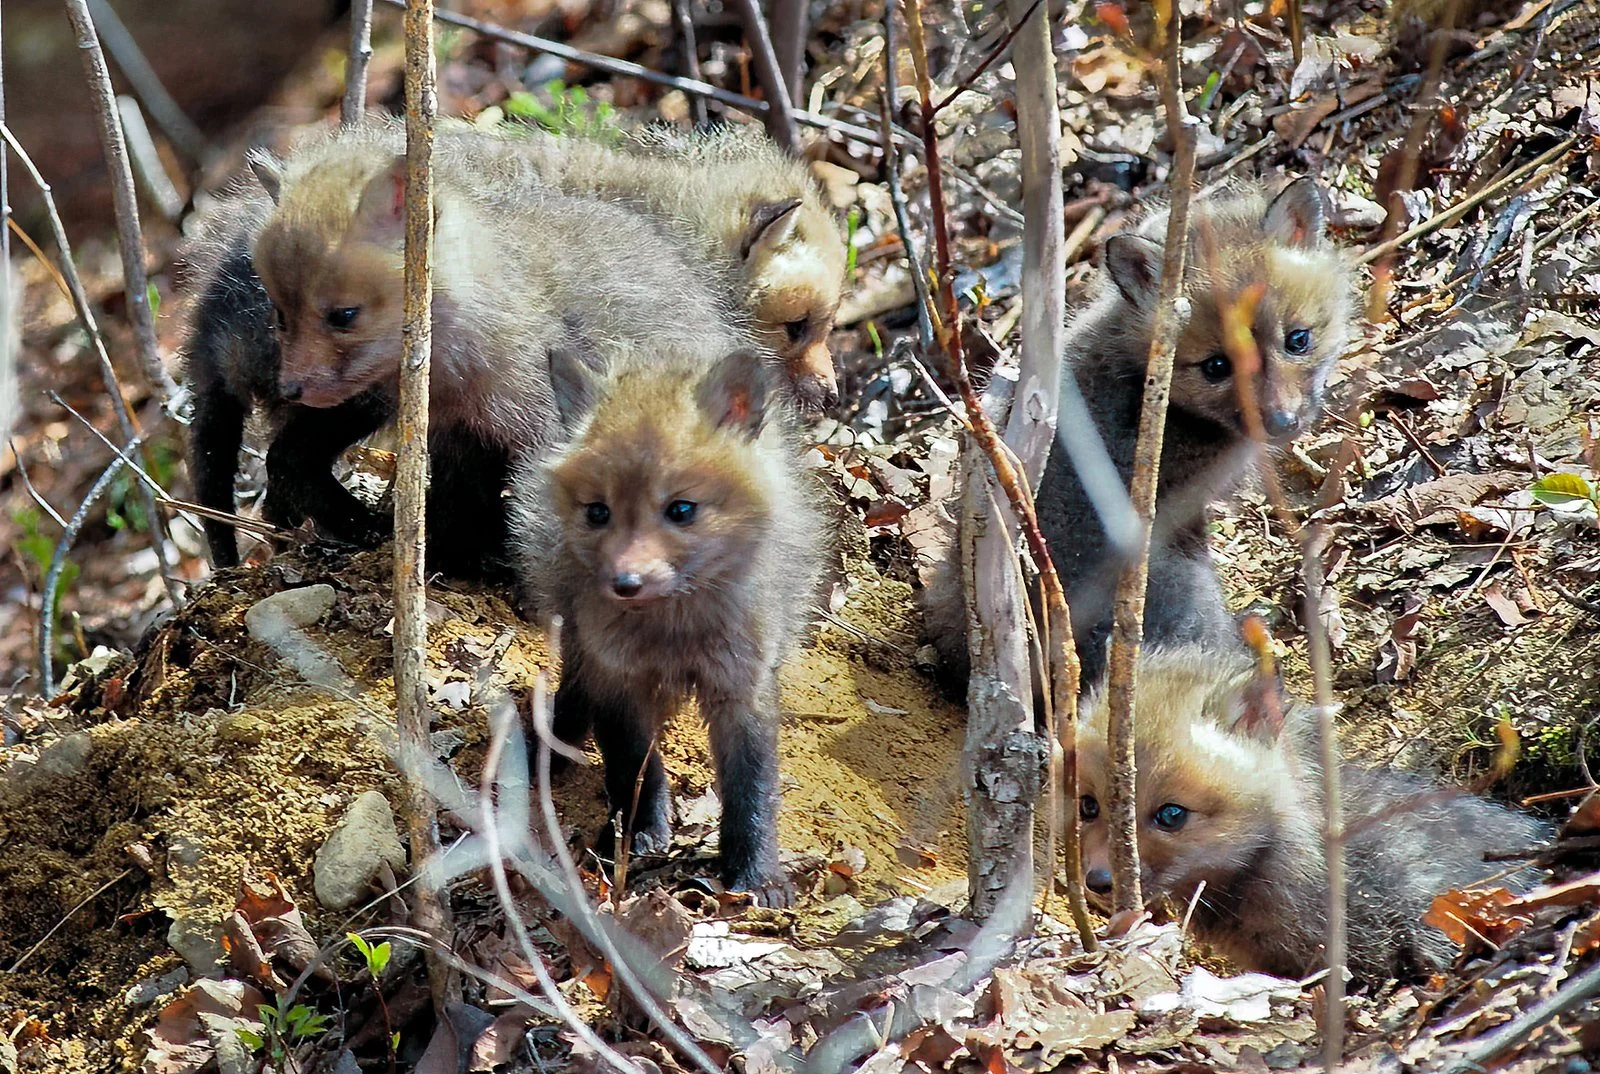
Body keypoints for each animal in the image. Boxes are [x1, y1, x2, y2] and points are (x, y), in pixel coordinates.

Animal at [179, 120, 751, 572]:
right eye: (280, 314)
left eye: (343, 316)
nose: (292, 387)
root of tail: (208, 325)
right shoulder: (457, 432)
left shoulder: (514, 431)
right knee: (284, 465)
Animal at [510, 343, 827, 907]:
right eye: (598, 512)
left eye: (681, 509)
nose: (625, 582)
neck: (674, 635)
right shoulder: (617, 677)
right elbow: (634, 766)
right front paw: (639, 833)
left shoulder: (742, 685)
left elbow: (752, 787)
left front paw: (757, 873)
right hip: (579, 640)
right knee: (572, 691)